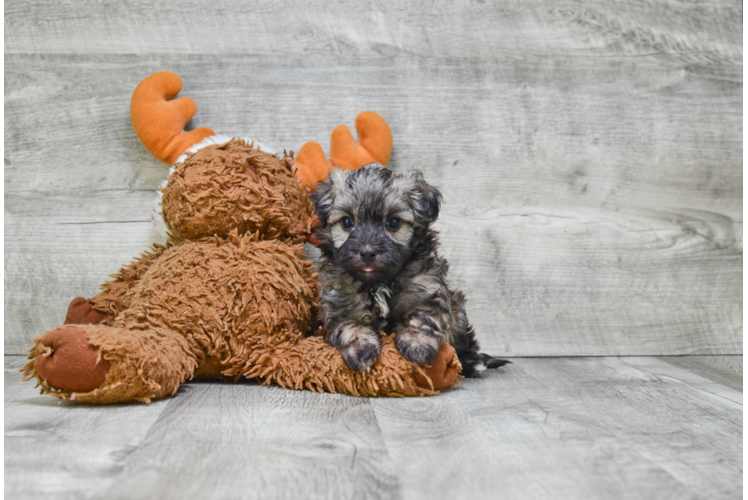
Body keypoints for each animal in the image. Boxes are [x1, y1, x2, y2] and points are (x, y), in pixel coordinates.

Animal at [312, 162, 512, 376]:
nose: (367, 252)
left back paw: (473, 361)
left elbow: (422, 317)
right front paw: (362, 350)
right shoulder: (341, 298)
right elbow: (351, 326)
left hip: (458, 315)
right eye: (347, 222)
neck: (379, 282)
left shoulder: (425, 287)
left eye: (393, 223)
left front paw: (417, 346)